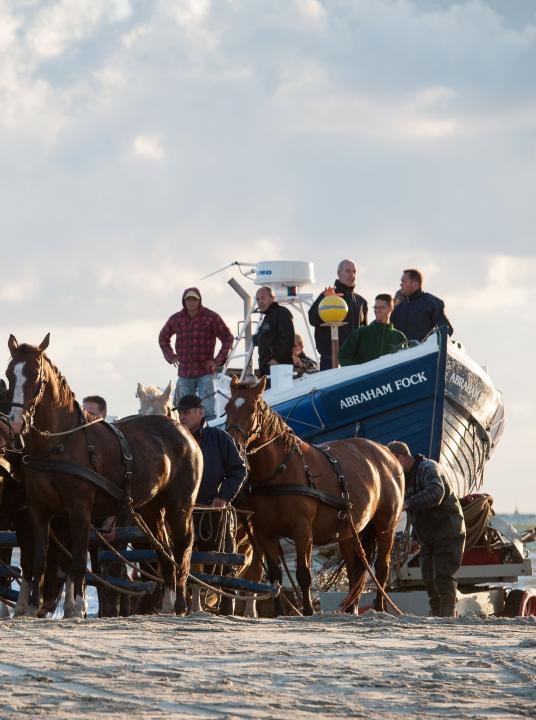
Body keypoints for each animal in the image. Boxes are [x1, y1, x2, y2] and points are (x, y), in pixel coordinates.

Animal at [5, 334, 203, 616]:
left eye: (34, 373)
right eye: (10, 373)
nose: (16, 421)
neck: (59, 443)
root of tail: (184, 432)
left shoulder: (78, 510)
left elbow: (77, 561)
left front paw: (77, 607)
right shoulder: (38, 510)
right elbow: (40, 561)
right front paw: (33, 607)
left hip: (180, 506)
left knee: (182, 549)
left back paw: (181, 604)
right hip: (151, 509)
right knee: (163, 552)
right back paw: (167, 603)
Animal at [224, 374, 404, 616]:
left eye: (251, 409)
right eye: (227, 408)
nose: (232, 443)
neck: (280, 470)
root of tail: (386, 452)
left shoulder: (302, 530)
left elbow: (303, 574)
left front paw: (308, 609)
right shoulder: (264, 533)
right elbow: (275, 575)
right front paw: (279, 612)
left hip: (385, 525)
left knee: (382, 568)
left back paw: (379, 607)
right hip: (350, 531)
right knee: (355, 570)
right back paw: (351, 609)